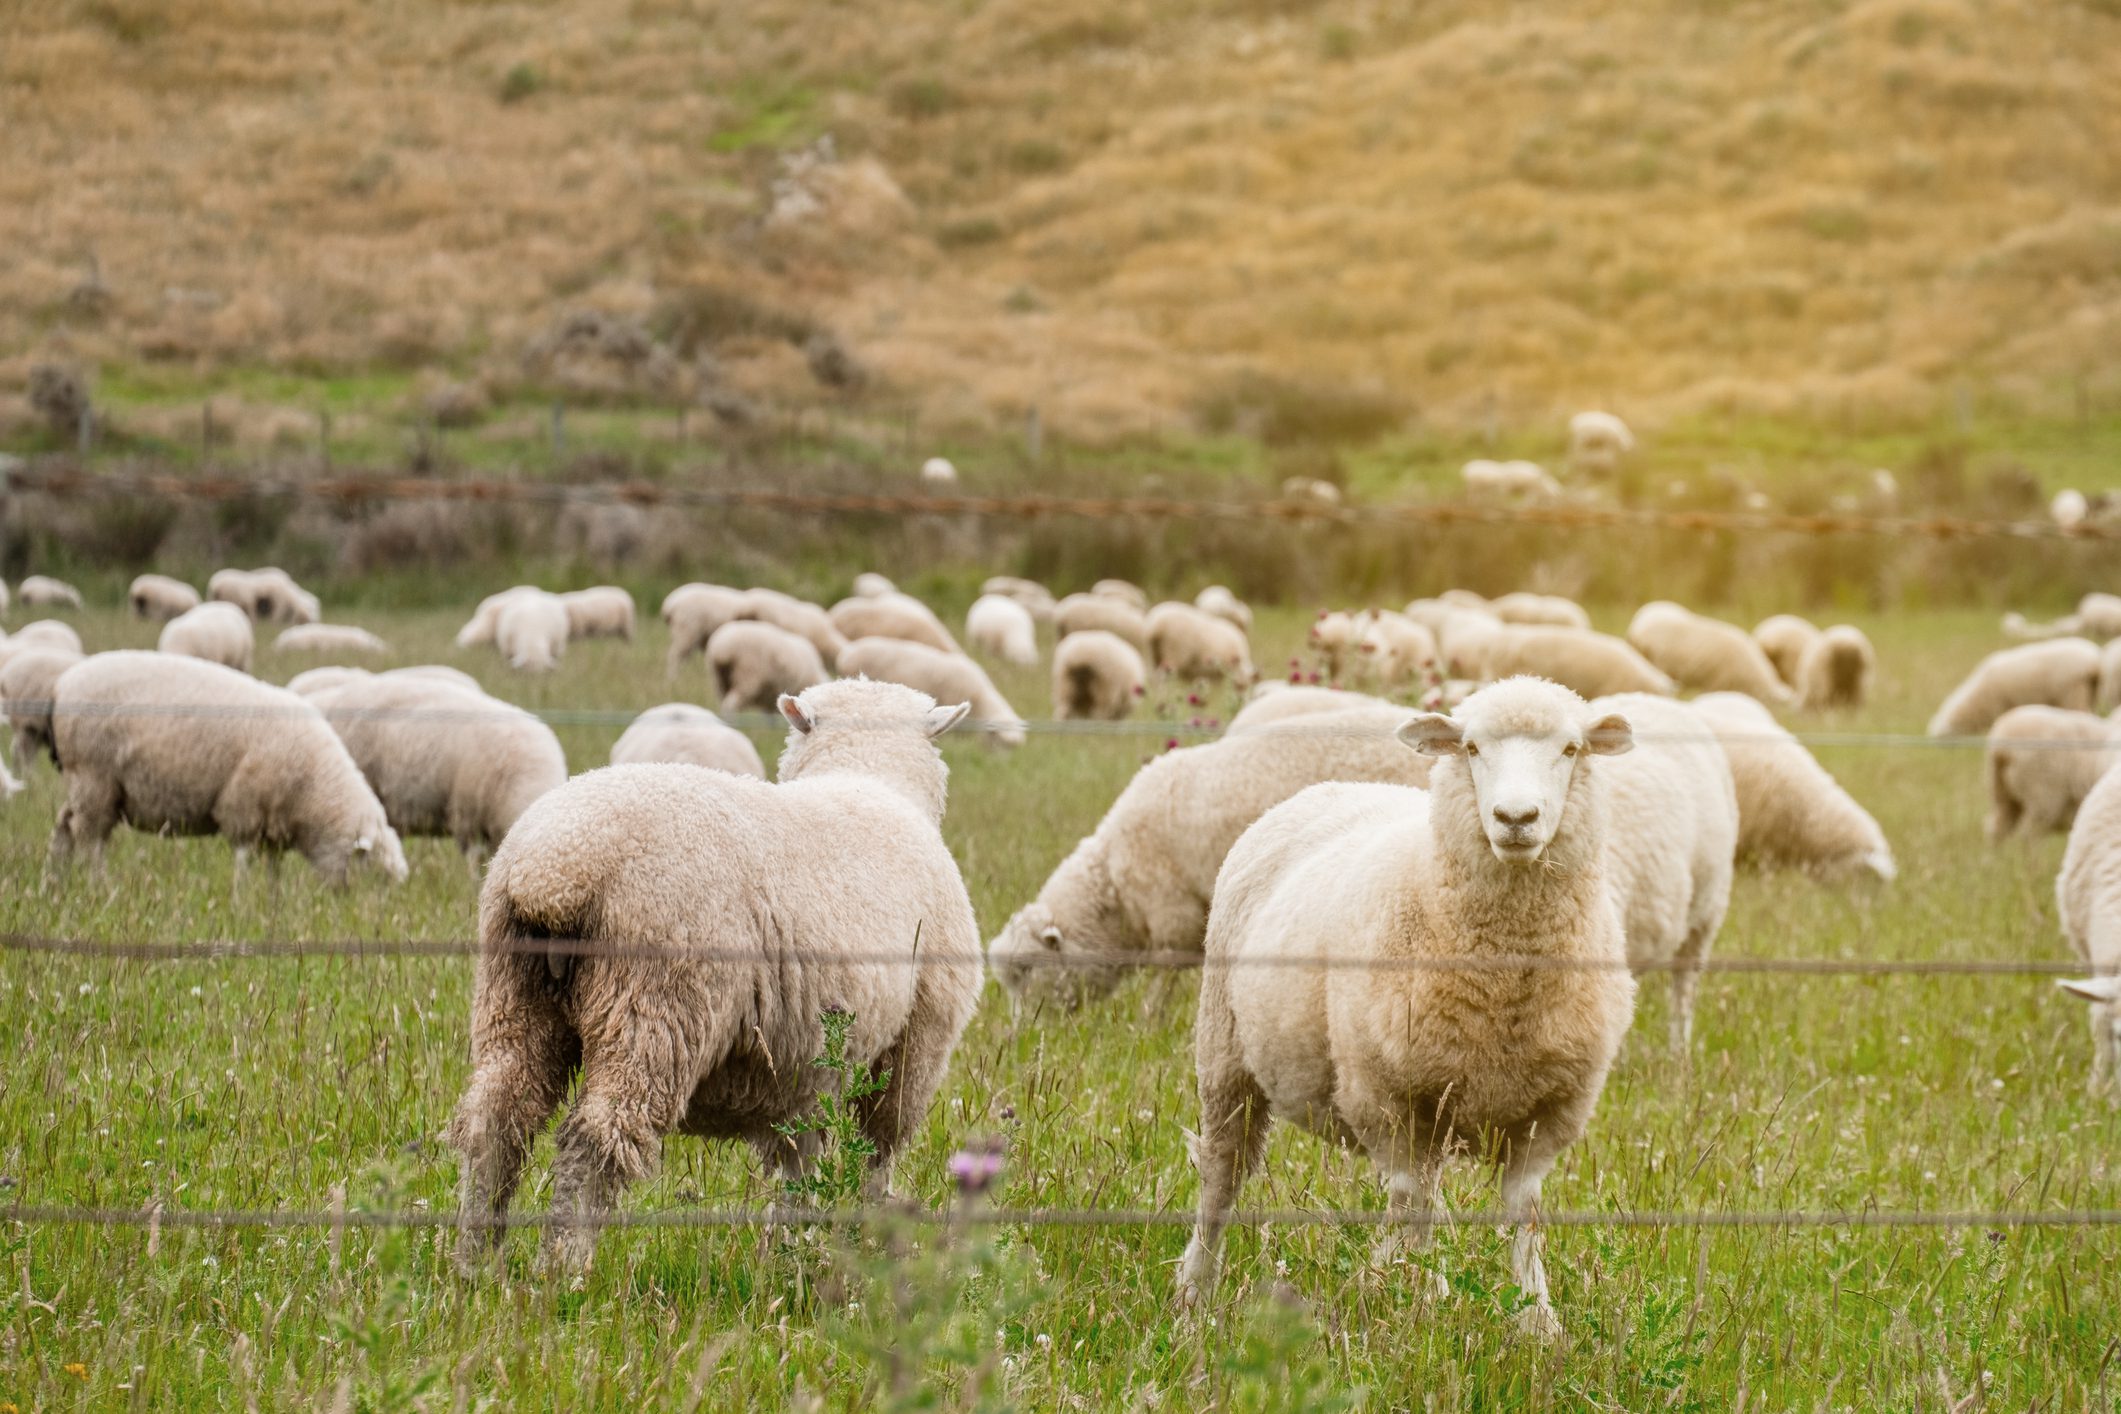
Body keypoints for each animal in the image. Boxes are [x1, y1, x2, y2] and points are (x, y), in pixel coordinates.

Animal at [0, 646, 82, 777]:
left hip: (34, 728)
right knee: (24, 753)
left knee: (17, 751)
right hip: (25, 723)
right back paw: (31, 777)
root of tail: (6, 675)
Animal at [48, 651, 407, 883]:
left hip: (86, 782)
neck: (313, 787)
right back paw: (100, 887)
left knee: (64, 825)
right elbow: (243, 862)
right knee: (89, 838)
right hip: (94, 776)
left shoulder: (272, 825)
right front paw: (243, 904)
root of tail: (62, 684)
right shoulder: (243, 808)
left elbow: (273, 870)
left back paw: (54, 884)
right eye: (376, 877)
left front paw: (271, 903)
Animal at [987, 703, 1429, 1010]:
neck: (1114, 890)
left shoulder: (1172, 915)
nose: (1020, 1036)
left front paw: (1149, 1023)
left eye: (1024, 971)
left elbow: (1162, 984)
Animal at [1175, 678, 1636, 1337]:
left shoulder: (1549, 1109)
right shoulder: (1385, 1095)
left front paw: (1537, 1321)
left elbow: (1523, 1214)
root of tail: (1330, 787)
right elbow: (1411, 1203)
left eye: (1571, 749)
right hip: (1226, 1055)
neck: (1505, 981)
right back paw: (1195, 1293)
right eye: (1471, 748)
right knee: (1222, 1176)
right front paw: (1410, 1307)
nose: (1516, 819)